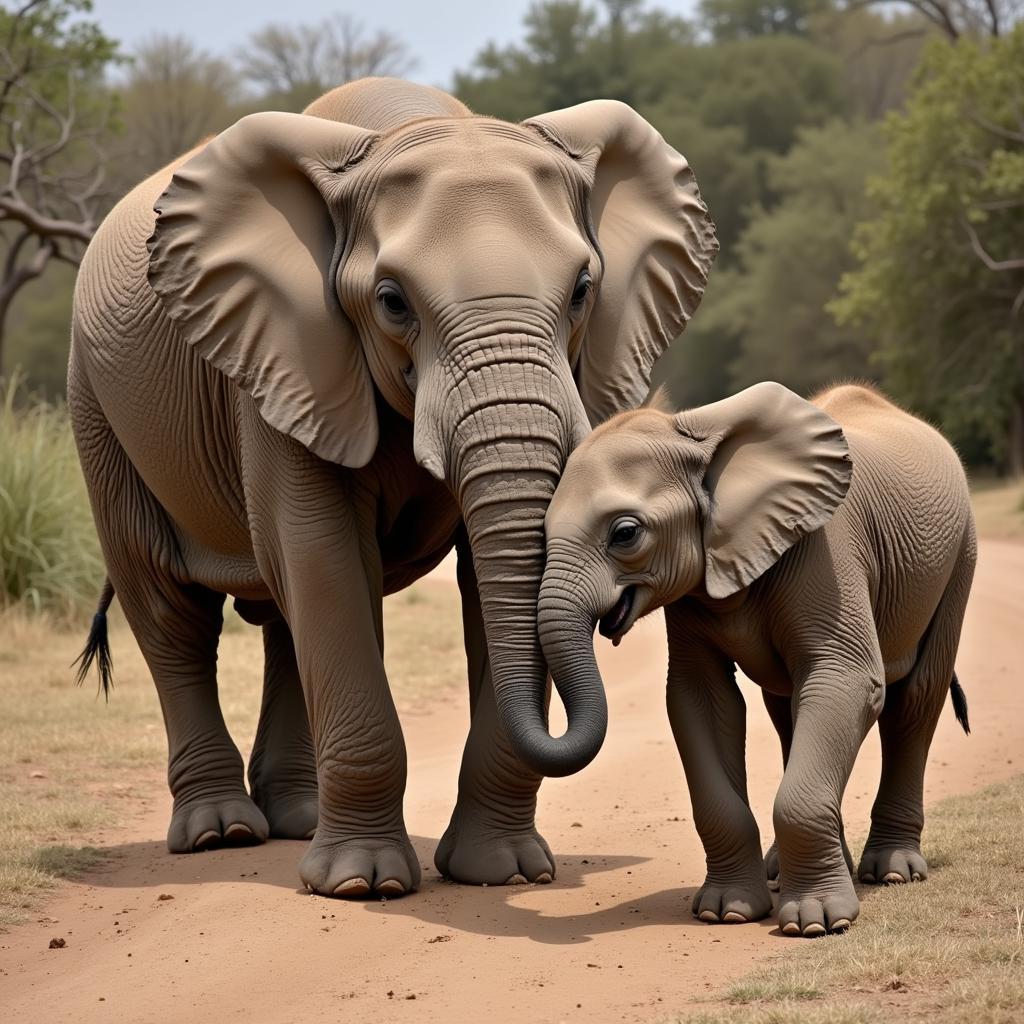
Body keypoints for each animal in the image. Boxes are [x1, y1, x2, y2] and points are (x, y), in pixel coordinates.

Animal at [72, 77, 716, 897]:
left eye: (581, 292)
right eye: (391, 301)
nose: (615, 624)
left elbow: (473, 576)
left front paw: (500, 875)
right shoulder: (289, 354)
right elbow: (322, 558)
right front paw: (361, 884)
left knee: (280, 618)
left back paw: (296, 820)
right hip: (96, 408)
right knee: (170, 611)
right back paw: (223, 833)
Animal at [536, 382, 974, 937]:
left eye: (625, 533)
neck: (695, 436)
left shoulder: (825, 550)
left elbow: (849, 679)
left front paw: (815, 924)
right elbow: (700, 700)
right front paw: (726, 912)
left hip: (960, 556)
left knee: (915, 699)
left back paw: (893, 872)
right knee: (787, 708)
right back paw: (788, 873)